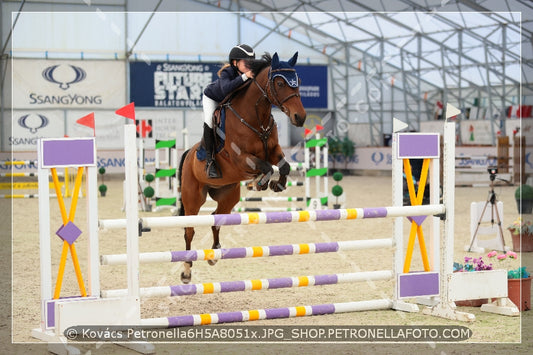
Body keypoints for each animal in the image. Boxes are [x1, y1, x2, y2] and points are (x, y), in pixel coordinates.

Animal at [177, 52, 306, 284]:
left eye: (297, 81)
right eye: (280, 83)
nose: (300, 118)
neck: (256, 118)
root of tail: (189, 153)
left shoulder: (273, 150)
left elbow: (283, 166)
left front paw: (276, 185)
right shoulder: (240, 158)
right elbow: (265, 166)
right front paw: (259, 182)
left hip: (228, 196)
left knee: (216, 220)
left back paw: (214, 254)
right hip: (193, 197)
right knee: (189, 230)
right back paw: (186, 272)